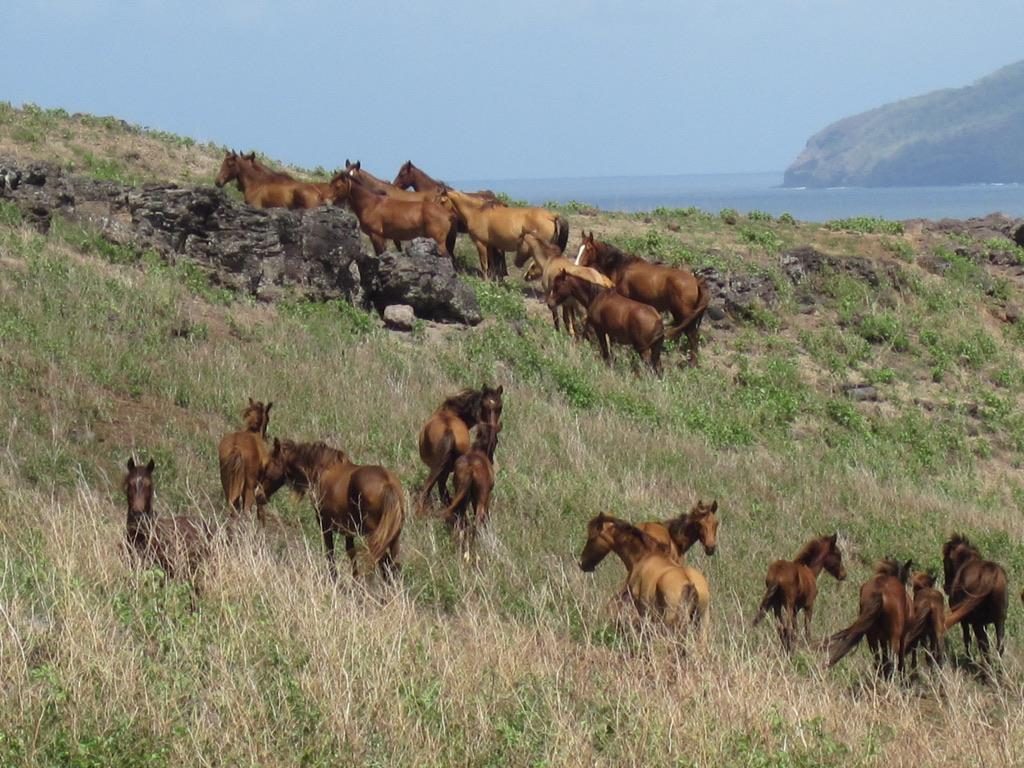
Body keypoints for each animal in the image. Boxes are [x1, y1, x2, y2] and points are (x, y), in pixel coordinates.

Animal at [261, 439, 404, 582]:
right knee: (393, 564)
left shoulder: (324, 524)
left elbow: (330, 552)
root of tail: (388, 484)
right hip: (393, 537)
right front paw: (355, 580)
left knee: (385, 562)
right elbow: (350, 551)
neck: (322, 469)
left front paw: (334, 579)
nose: (259, 495)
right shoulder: (349, 530)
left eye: (267, 465)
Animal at [438, 188, 568, 279]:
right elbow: (491, 264)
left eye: (442, 201)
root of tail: (551, 216)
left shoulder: (481, 244)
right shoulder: (490, 245)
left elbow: (484, 265)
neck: (476, 211)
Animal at [440, 421, 500, 559]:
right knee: (477, 518)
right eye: (496, 440)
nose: (492, 459)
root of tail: (471, 468)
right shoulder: (486, 496)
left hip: (462, 495)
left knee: (460, 517)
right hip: (480, 498)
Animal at [575, 232, 710, 366]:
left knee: (693, 336)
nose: (576, 266)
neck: (620, 266)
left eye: (588, 248)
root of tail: (696, 281)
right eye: (579, 247)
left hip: (683, 313)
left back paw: (692, 363)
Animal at [942, 534, 1009, 662]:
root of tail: (991, 574)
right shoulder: (985, 623)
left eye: (945, 560)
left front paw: (969, 657)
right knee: (999, 645)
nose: (946, 587)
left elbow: (967, 639)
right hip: (999, 620)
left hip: (977, 623)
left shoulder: (964, 620)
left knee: (984, 646)